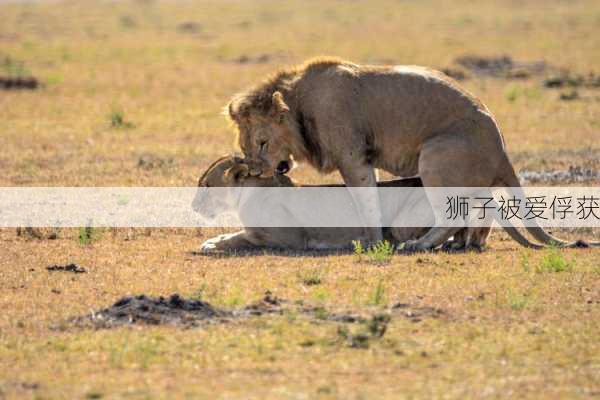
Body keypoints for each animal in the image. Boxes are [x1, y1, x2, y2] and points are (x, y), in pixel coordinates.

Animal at [227, 57, 592, 250]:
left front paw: (371, 241)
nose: (256, 173)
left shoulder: (353, 156)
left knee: (448, 216)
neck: (301, 104)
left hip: (434, 155)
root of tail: (501, 149)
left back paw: (419, 244)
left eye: (262, 142)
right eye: (244, 147)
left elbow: (366, 202)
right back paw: (456, 243)